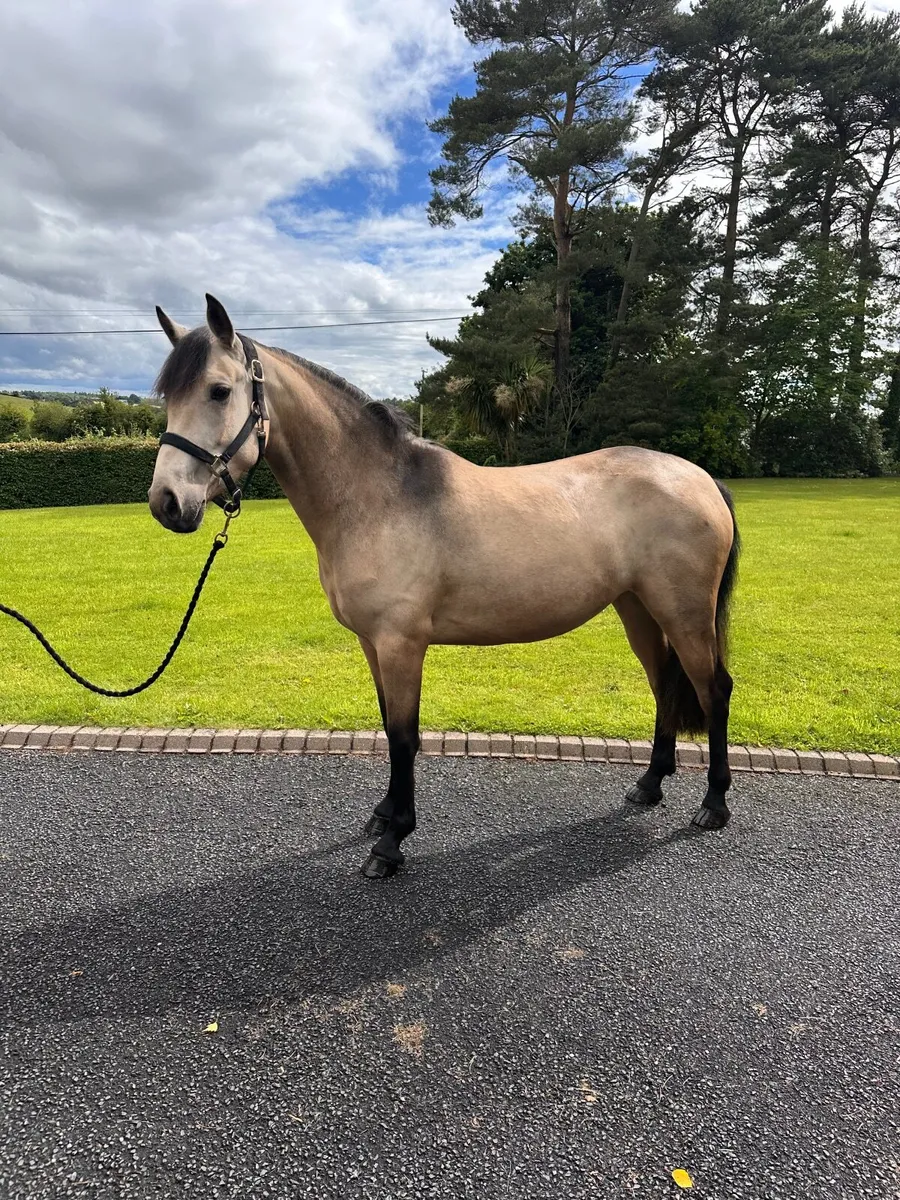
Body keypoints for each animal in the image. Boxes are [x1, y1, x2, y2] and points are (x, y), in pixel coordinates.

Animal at [149, 295, 740, 879]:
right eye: (167, 398)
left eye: (219, 390)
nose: (167, 504)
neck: (378, 498)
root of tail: (700, 478)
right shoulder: (372, 644)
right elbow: (388, 724)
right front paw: (384, 814)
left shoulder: (401, 643)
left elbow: (403, 736)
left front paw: (391, 843)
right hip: (637, 607)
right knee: (665, 684)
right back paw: (648, 785)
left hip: (684, 614)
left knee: (713, 689)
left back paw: (713, 805)